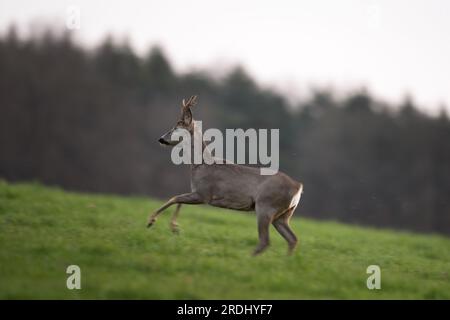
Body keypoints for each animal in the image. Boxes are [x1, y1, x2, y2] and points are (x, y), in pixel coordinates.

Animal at [147, 95, 302, 255]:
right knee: (292, 238)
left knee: (266, 241)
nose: (161, 139)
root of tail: (298, 187)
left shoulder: (204, 193)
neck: (200, 165)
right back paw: (285, 259)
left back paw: (248, 258)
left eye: (176, 127)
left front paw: (153, 221)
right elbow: (179, 200)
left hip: (266, 206)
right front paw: (175, 228)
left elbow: (175, 198)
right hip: (283, 215)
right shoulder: (198, 193)